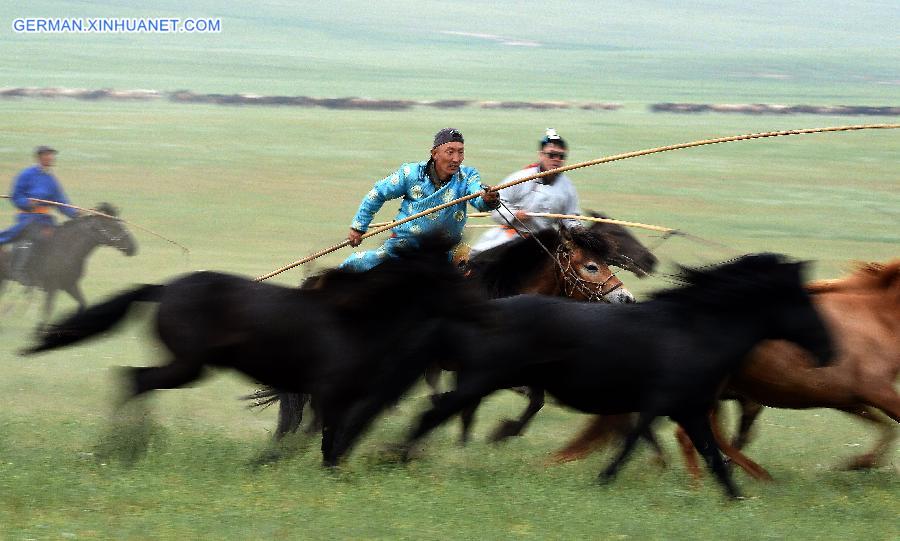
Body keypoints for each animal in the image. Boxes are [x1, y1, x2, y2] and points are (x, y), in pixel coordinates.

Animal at [0, 201, 137, 320]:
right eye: (114, 225)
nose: (133, 247)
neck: (65, 248)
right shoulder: (52, 287)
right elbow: (47, 312)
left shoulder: (70, 285)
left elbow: (82, 303)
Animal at [400, 254, 836, 498]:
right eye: (803, 302)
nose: (830, 351)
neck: (696, 330)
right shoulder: (671, 405)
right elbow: (638, 443)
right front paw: (604, 480)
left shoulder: (684, 409)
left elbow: (709, 456)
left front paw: (734, 497)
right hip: (479, 379)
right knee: (432, 414)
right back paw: (400, 457)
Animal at [552, 262, 896, 476]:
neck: (873, 317)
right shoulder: (874, 392)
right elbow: (891, 426)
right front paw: (859, 463)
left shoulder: (847, 398)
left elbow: (884, 427)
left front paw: (858, 463)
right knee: (689, 433)